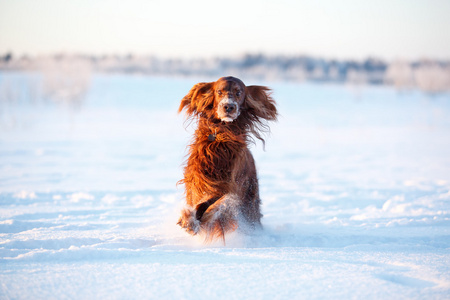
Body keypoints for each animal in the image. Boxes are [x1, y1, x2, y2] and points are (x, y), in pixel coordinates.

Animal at [177, 76, 276, 243]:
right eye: (219, 91)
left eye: (238, 92)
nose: (228, 106)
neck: (222, 135)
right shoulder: (198, 179)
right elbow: (198, 202)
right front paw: (189, 220)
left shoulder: (229, 187)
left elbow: (218, 203)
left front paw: (195, 222)